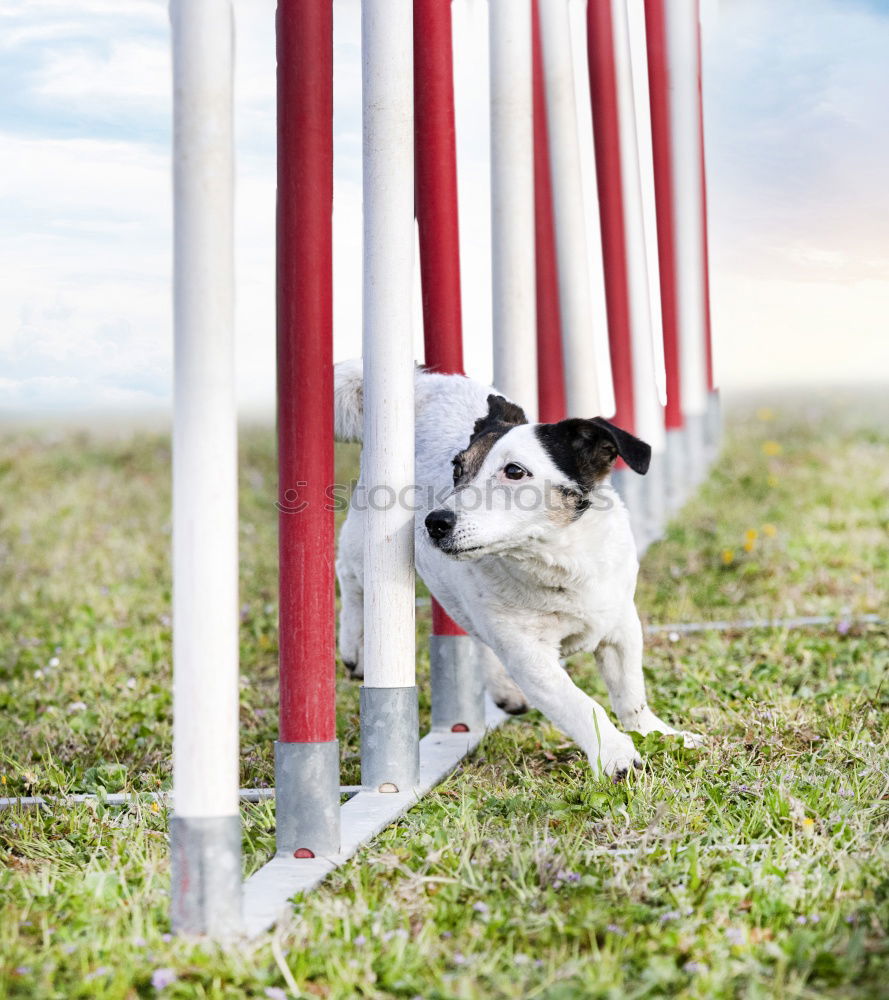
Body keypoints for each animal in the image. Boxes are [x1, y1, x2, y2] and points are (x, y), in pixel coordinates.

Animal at [330, 360, 696, 780]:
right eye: (457, 469)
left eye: (515, 471)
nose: (435, 522)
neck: (561, 564)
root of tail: (425, 383)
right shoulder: (531, 658)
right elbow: (581, 704)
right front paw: (616, 755)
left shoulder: (619, 628)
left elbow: (631, 695)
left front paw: (661, 734)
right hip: (366, 538)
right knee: (350, 576)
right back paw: (356, 647)